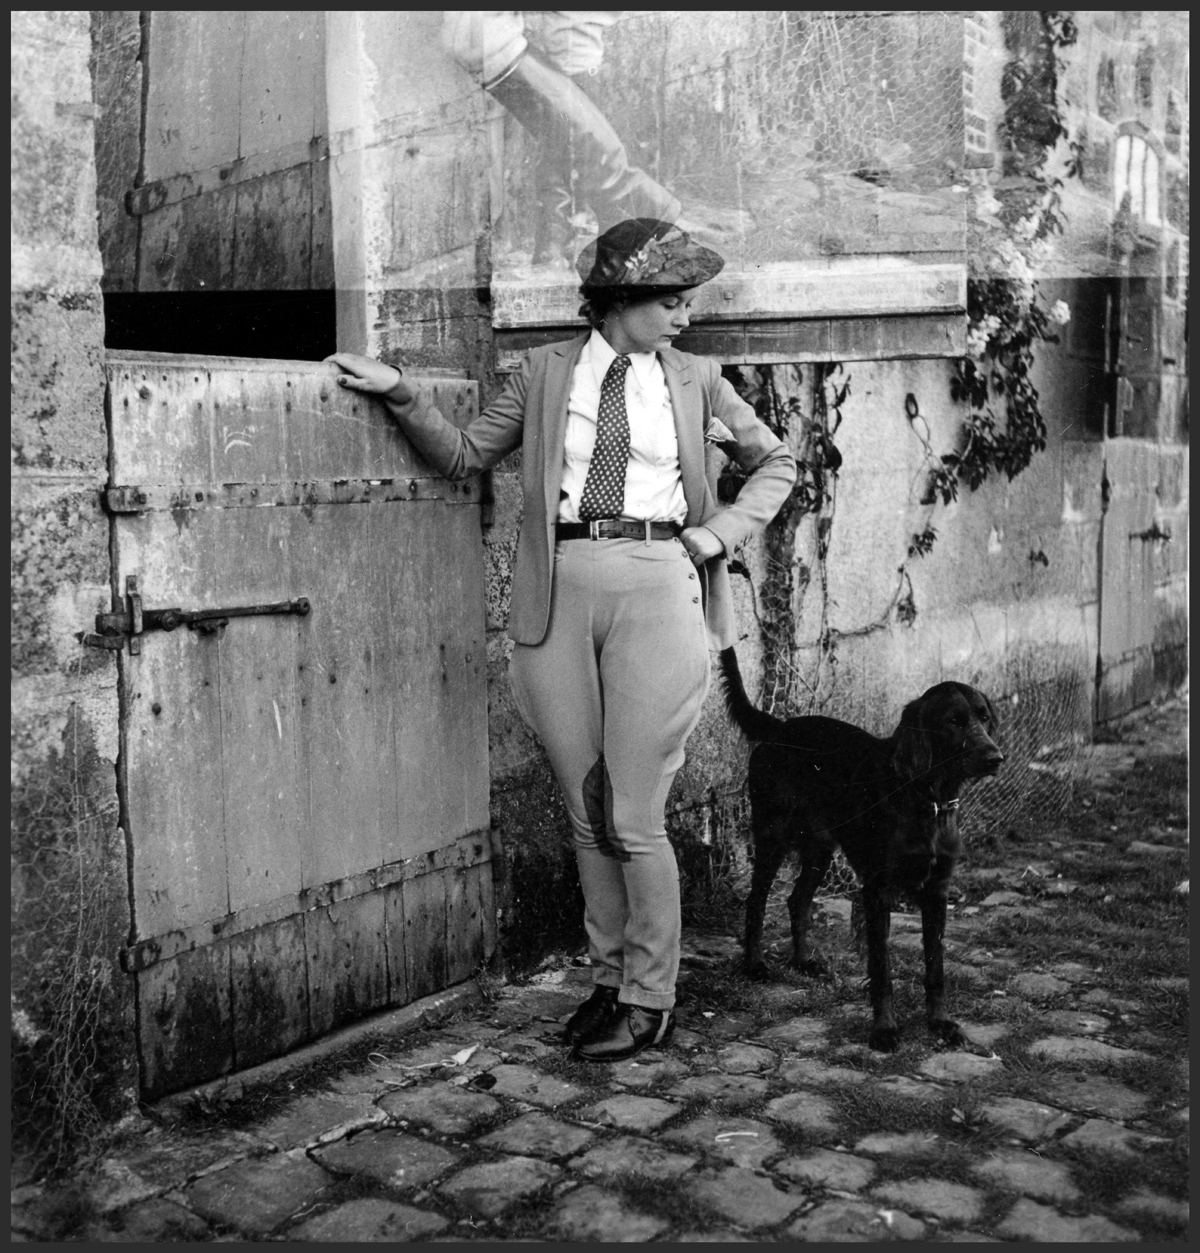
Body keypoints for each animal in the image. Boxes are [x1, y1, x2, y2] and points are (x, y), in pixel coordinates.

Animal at [721, 651, 1007, 1052]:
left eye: (984, 717)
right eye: (954, 721)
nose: (996, 757)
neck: (926, 799)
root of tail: (778, 728)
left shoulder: (937, 892)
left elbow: (935, 968)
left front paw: (940, 1023)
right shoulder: (877, 891)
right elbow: (881, 968)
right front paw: (884, 1029)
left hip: (820, 849)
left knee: (797, 900)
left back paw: (804, 962)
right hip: (772, 837)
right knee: (757, 900)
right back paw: (755, 965)